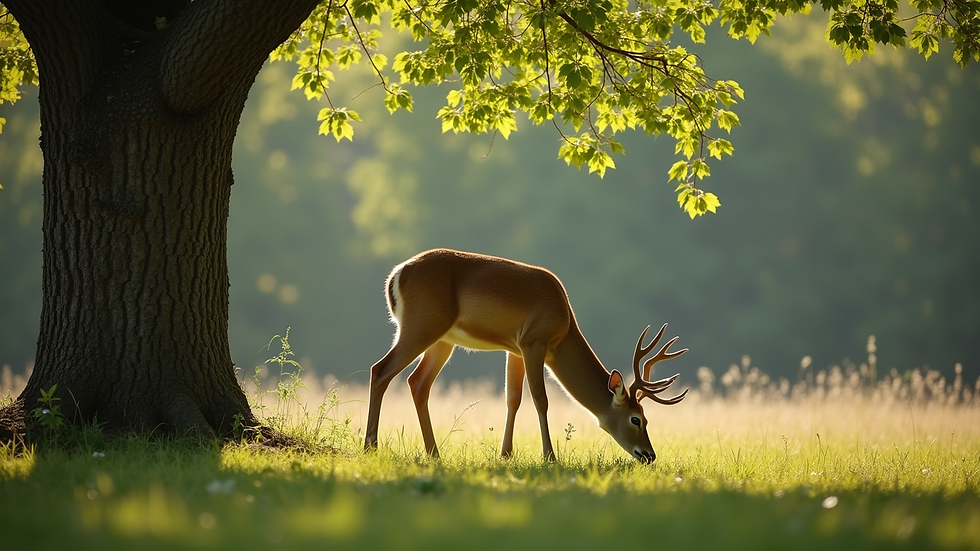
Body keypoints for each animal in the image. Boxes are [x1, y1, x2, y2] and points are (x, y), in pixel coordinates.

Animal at [363, 248, 689, 463]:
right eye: (637, 419)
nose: (649, 455)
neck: (564, 328)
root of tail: (396, 275)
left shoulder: (515, 349)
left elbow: (513, 398)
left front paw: (505, 455)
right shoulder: (534, 341)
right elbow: (540, 399)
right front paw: (550, 457)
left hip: (442, 339)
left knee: (417, 383)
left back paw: (434, 454)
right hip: (423, 325)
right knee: (380, 370)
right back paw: (371, 447)